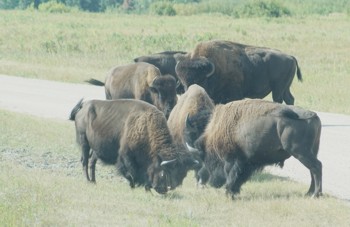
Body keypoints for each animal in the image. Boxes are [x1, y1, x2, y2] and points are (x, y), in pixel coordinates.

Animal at [69, 98, 198, 194]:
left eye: (182, 176)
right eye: (165, 172)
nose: (163, 190)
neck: (146, 125)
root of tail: (83, 107)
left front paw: (145, 187)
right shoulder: (125, 156)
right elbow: (129, 172)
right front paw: (134, 185)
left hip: (96, 149)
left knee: (92, 162)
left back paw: (94, 181)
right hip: (84, 142)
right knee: (85, 161)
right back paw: (88, 181)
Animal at [191, 99, 322, 199]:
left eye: (206, 159)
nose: (203, 180)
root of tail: (313, 115)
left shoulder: (232, 160)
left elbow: (232, 175)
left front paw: (229, 193)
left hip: (301, 152)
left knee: (316, 167)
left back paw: (315, 194)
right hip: (310, 152)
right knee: (312, 170)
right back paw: (309, 193)